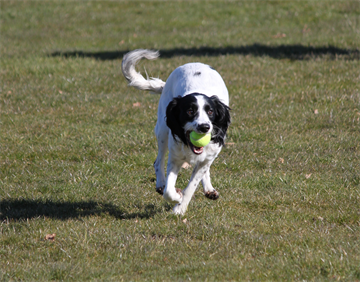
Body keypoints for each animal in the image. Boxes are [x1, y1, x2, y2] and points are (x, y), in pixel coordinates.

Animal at [121, 49, 231, 215]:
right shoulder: (175, 158)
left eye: (210, 111)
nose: (204, 127)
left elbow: (192, 184)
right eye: (190, 111)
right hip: (162, 130)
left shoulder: (208, 156)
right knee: (158, 162)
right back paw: (160, 183)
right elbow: (168, 190)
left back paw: (209, 189)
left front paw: (180, 207)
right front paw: (177, 197)